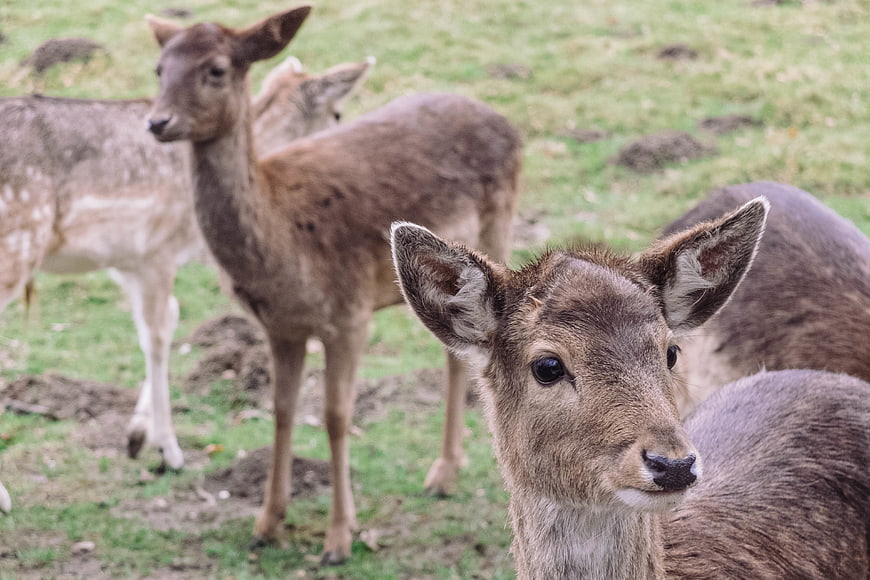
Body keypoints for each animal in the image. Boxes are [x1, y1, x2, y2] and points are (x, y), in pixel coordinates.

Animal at [0, 52, 374, 509]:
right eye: (336, 113)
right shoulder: (157, 248)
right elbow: (159, 334)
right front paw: (170, 450)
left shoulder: (126, 259)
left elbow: (164, 321)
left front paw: (136, 437)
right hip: (16, 243)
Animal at [144, 6, 521, 564]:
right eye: (159, 68)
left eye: (216, 69)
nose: (157, 122)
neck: (283, 245)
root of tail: (507, 122)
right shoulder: (279, 326)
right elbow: (281, 410)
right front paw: (266, 524)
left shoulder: (349, 313)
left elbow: (336, 416)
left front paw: (339, 538)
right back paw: (444, 473)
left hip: (498, 227)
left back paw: (443, 473)